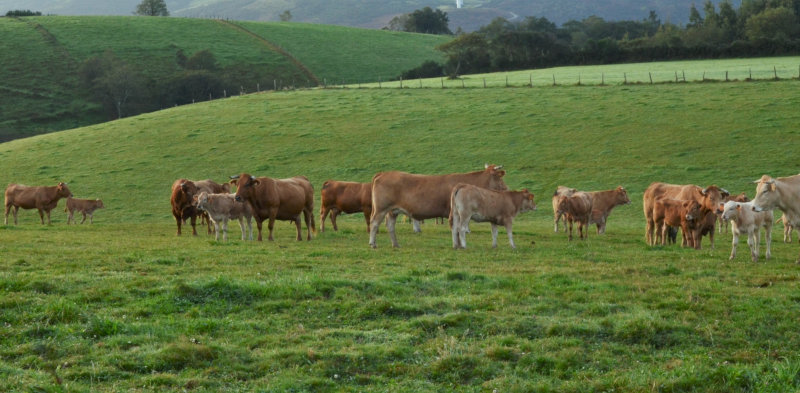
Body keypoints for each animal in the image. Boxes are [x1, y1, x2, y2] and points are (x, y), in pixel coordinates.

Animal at [368, 164, 506, 247]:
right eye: (500, 178)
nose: (506, 188)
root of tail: (384, 173)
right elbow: (456, 228)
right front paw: (458, 245)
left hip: (392, 211)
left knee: (390, 226)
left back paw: (396, 244)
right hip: (380, 209)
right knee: (374, 223)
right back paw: (373, 244)